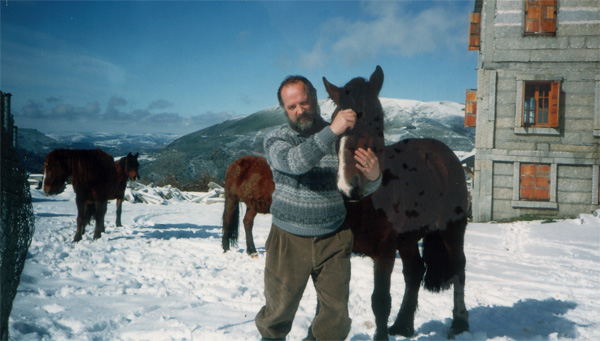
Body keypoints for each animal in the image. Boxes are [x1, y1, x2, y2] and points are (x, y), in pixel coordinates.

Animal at [223, 65, 472, 338]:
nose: (350, 186)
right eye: (336, 122)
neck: (366, 204)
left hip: (453, 228)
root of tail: (444, 153)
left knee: (458, 268)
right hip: (407, 239)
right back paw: (403, 325)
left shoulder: (385, 252)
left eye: (377, 118)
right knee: (414, 272)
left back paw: (459, 324)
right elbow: (324, 303)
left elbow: (380, 301)